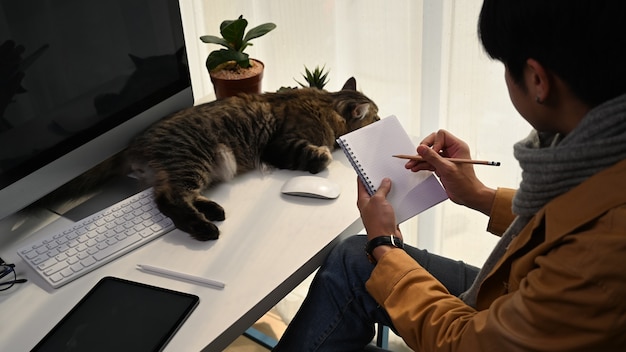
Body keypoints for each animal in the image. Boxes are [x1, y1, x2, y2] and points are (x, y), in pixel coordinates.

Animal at [123, 77, 376, 241]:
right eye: (376, 116)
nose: (382, 117)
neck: (326, 105)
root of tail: (138, 140)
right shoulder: (278, 146)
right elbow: (322, 157)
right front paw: (323, 155)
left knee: (180, 194)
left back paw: (214, 210)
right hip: (193, 160)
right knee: (169, 198)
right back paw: (205, 228)